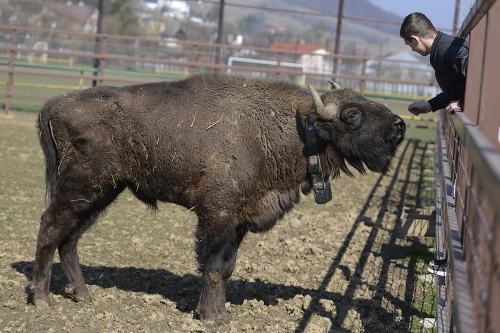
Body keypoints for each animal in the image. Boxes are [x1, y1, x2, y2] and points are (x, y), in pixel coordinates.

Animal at [33, 72, 404, 322]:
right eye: (352, 115)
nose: (399, 125)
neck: (298, 129)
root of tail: (52, 106)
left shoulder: (238, 222)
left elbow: (227, 267)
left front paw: (222, 314)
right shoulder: (217, 216)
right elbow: (212, 266)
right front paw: (209, 317)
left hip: (102, 194)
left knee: (69, 239)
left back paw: (83, 295)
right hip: (81, 188)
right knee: (50, 229)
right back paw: (42, 299)